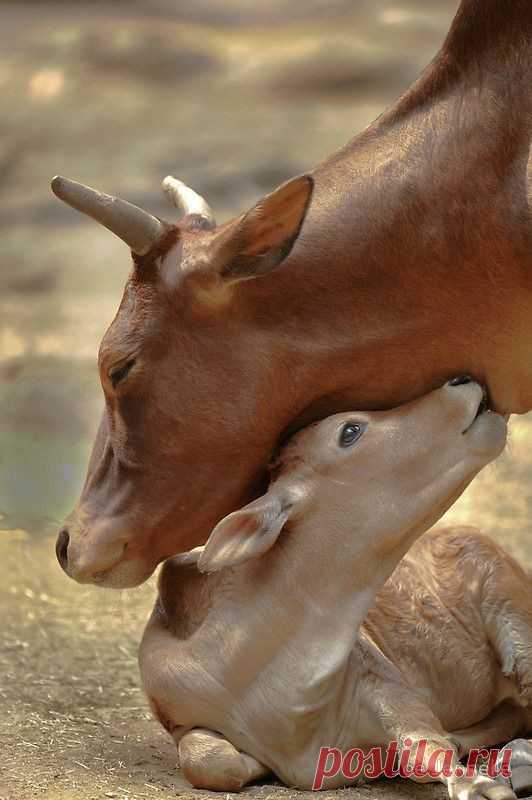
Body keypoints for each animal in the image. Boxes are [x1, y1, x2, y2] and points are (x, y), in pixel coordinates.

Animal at [139, 382, 528, 800]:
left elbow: (424, 746)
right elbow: (210, 761)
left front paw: (481, 785)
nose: (461, 381)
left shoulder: (389, 685)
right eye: (350, 431)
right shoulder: (180, 716)